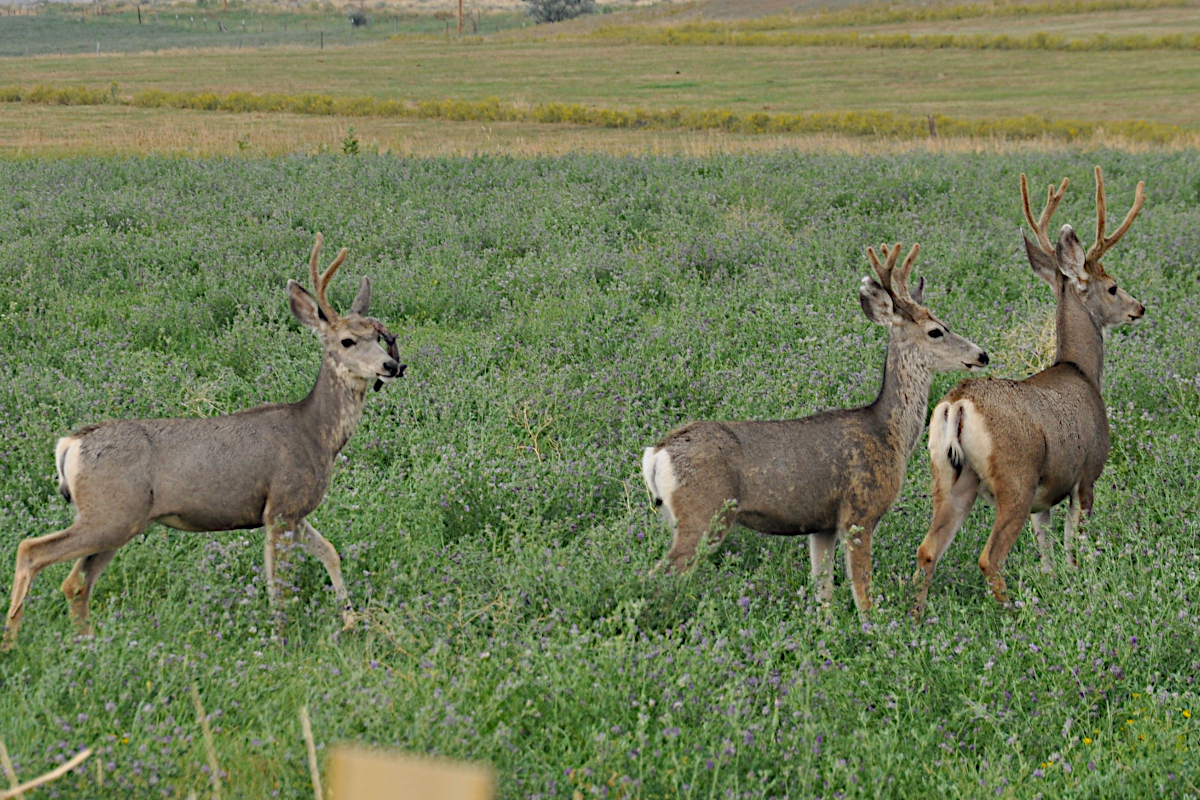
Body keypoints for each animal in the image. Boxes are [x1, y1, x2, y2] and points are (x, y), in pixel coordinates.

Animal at [2, 235, 405, 647]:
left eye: (378, 337)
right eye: (347, 340)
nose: (390, 366)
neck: (316, 434)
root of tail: (70, 444)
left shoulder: (294, 510)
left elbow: (330, 553)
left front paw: (350, 619)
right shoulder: (281, 504)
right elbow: (278, 582)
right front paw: (281, 636)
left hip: (120, 518)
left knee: (75, 583)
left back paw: (88, 644)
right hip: (110, 513)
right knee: (32, 550)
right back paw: (14, 641)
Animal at [643, 244, 988, 614]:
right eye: (936, 330)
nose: (982, 355)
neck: (888, 434)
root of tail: (656, 453)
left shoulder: (822, 526)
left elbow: (823, 591)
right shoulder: (859, 512)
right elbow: (862, 592)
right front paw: (873, 625)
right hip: (704, 513)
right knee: (657, 577)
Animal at [912, 167, 1147, 618]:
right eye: (1112, 286)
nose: (1139, 308)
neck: (1081, 372)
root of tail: (958, 404)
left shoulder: (1045, 497)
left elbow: (1046, 550)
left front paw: (1054, 581)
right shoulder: (1086, 474)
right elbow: (1074, 544)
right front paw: (1076, 580)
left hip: (950, 477)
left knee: (927, 550)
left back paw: (913, 619)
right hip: (1014, 479)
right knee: (989, 557)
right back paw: (1016, 612)